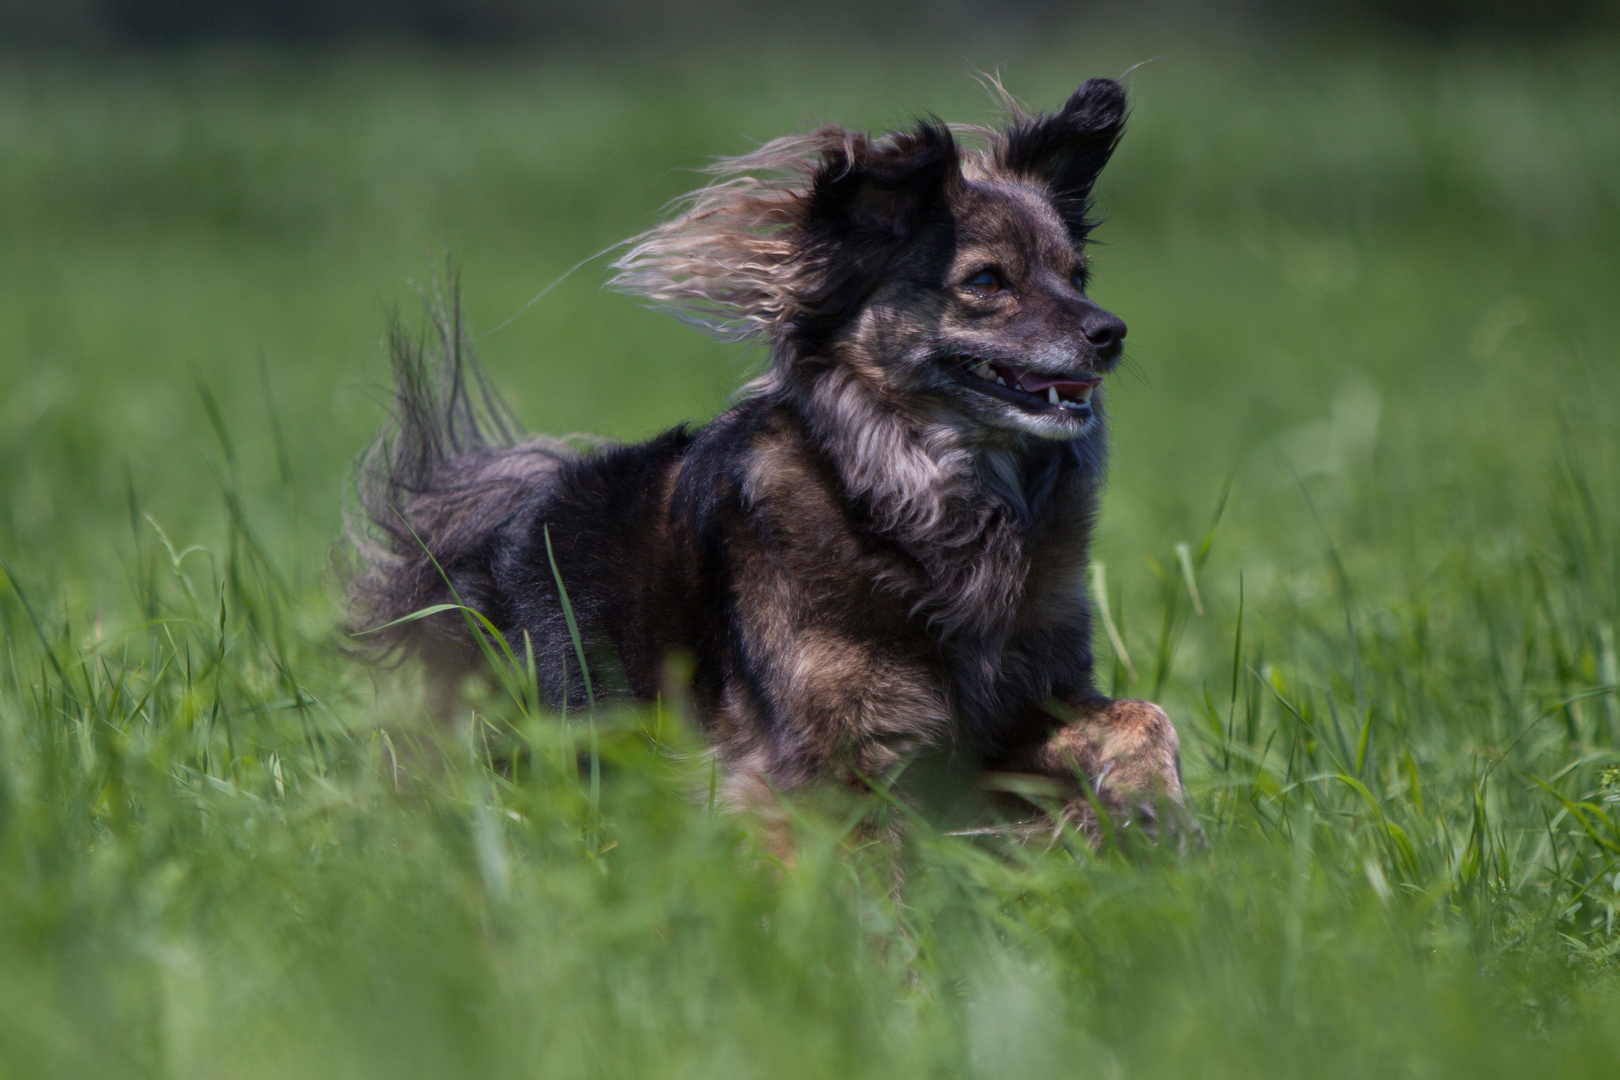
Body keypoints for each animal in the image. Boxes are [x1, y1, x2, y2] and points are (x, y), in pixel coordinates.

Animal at [348, 78, 1192, 841]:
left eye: (1076, 277)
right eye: (987, 282)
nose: (1110, 331)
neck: (939, 500)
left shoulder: (1017, 712)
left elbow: (1145, 712)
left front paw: (1156, 806)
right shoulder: (824, 761)